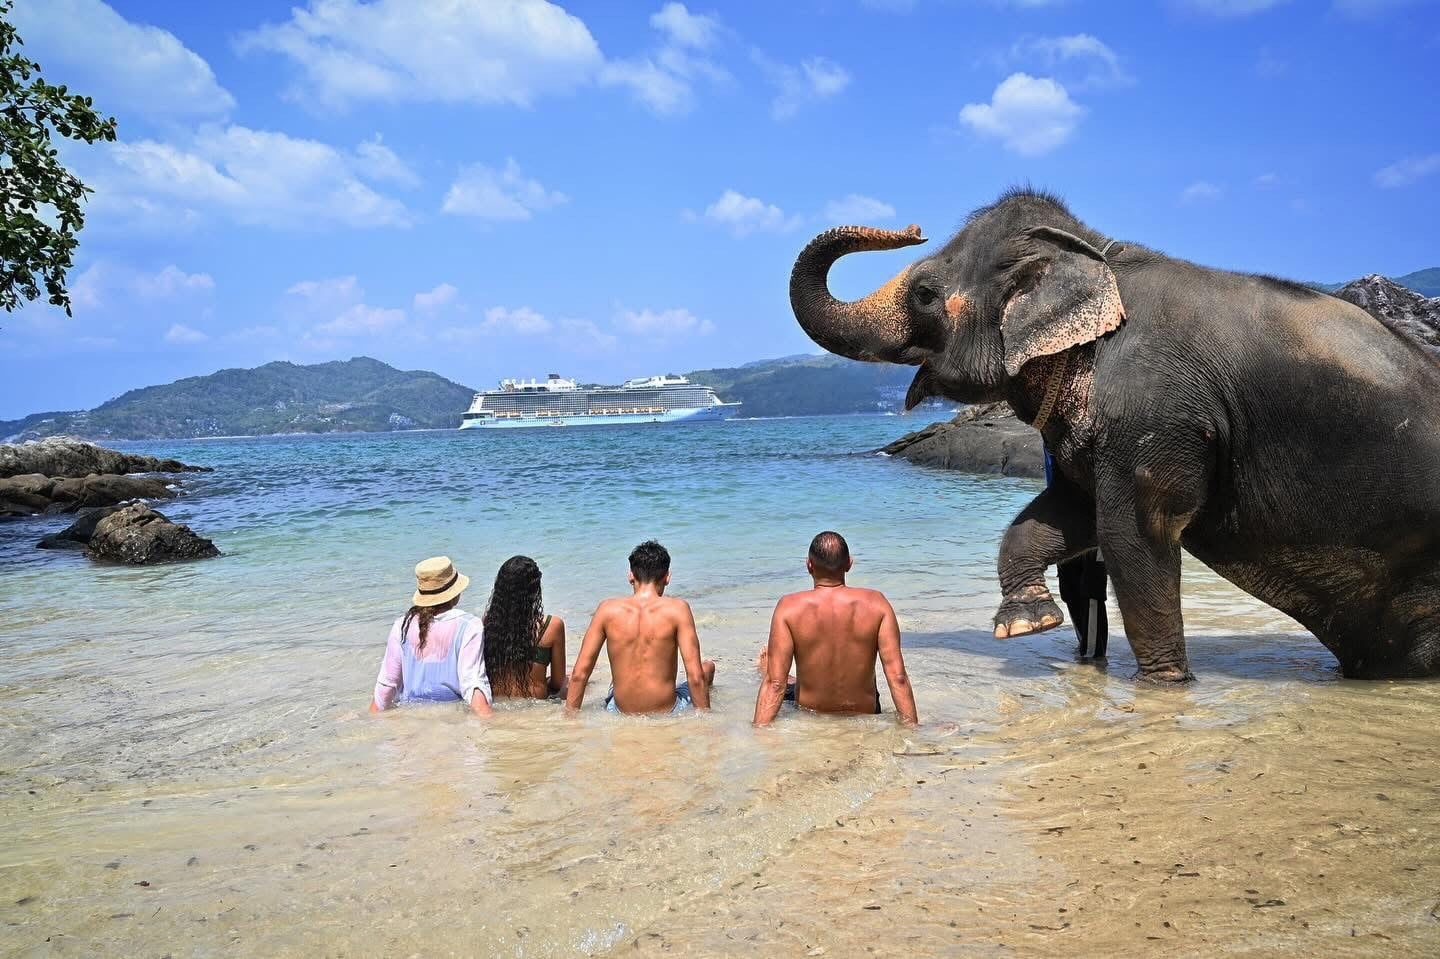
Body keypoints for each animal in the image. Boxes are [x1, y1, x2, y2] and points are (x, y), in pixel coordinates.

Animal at [789, 188, 1440, 681]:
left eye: (925, 294)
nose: (913, 227)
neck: (1095, 254)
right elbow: (1067, 512)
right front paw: (1028, 623)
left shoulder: (1154, 409)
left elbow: (1133, 532)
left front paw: (1163, 685)